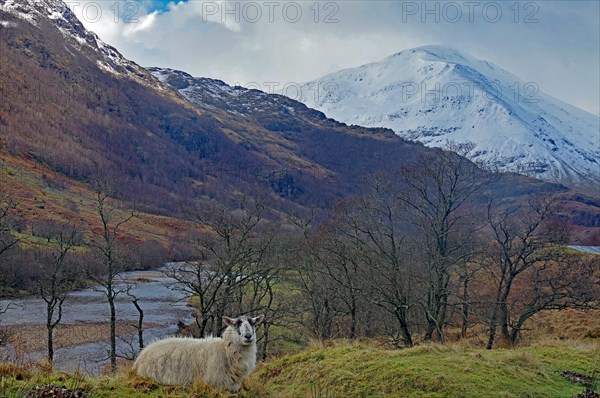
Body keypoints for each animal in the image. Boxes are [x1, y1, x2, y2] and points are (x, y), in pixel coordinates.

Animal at [134, 314, 264, 392]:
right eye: (236, 324)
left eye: (253, 323)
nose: (248, 336)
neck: (225, 351)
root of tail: (141, 356)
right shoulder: (217, 384)